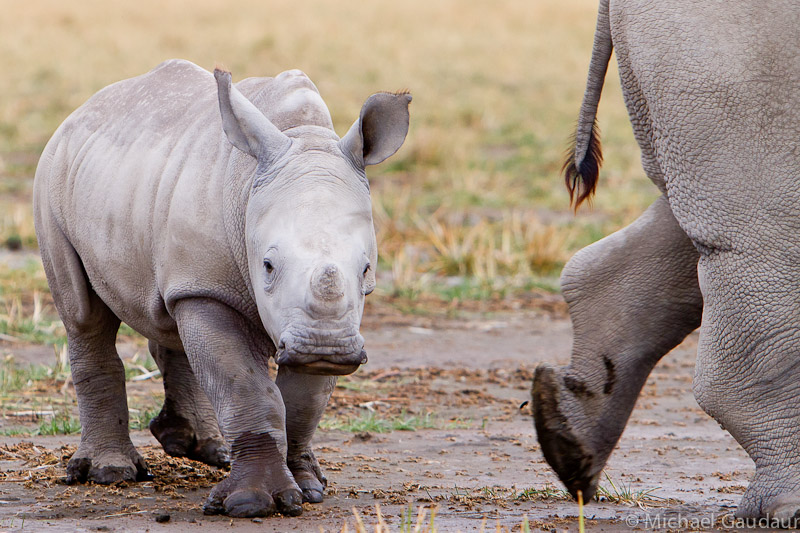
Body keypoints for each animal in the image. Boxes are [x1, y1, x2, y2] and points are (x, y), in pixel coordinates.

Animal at [33, 60, 412, 516]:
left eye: (367, 269)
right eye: (267, 266)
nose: (327, 347)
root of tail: (85, 108)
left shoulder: (325, 317)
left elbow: (303, 399)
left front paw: (307, 488)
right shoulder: (210, 287)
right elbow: (245, 387)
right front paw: (253, 503)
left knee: (172, 315)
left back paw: (206, 450)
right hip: (53, 174)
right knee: (84, 315)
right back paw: (111, 473)